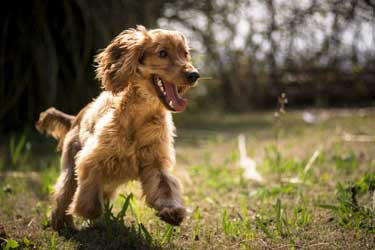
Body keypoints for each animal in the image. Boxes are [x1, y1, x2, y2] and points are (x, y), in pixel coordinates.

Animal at [36, 25, 200, 230]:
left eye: (185, 54)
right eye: (162, 53)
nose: (194, 75)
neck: (141, 116)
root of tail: (76, 117)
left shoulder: (154, 163)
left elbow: (166, 187)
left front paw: (172, 211)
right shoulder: (93, 157)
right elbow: (89, 189)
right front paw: (88, 211)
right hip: (70, 165)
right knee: (63, 194)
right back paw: (61, 222)